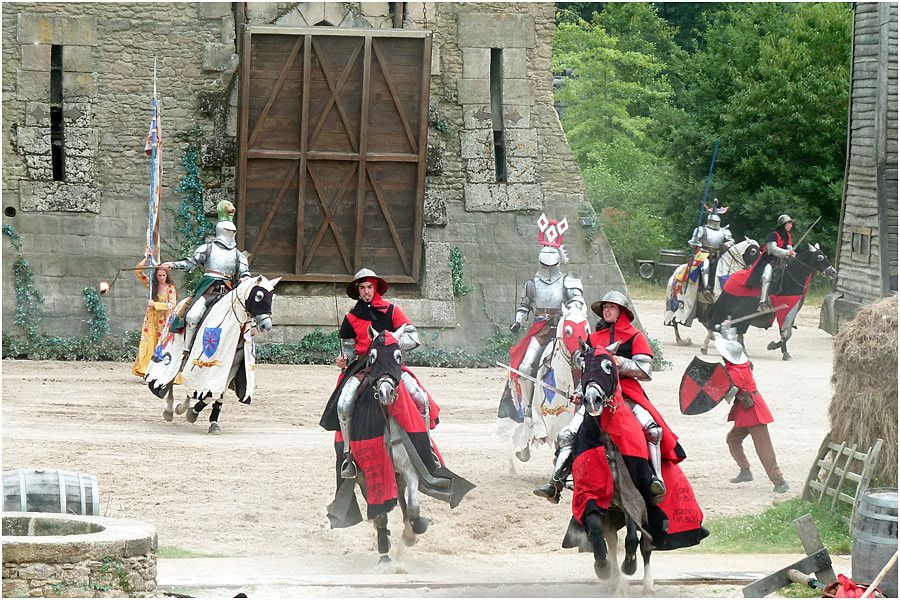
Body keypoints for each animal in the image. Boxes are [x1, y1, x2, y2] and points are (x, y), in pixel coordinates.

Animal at [146, 274, 280, 434]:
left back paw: (183, 406)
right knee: (171, 378)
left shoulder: (231, 368)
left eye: (272, 297)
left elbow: (217, 394)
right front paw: (192, 413)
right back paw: (170, 410)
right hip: (177, 355)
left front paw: (209, 420)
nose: (266, 325)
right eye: (259, 296)